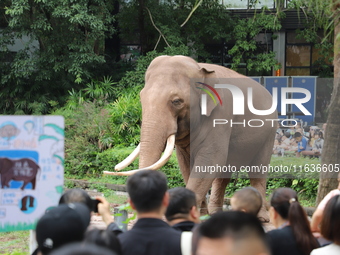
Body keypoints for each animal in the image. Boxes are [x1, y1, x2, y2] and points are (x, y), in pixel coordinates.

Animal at [104, 54, 276, 220]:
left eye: (176, 101)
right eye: (141, 97)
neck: (199, 67)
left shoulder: (220, 116)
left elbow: (210, 159)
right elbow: (186, 164)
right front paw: (201, 215)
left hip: (270, 133)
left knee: (258, 170)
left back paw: (262, 218)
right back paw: (215, 214)